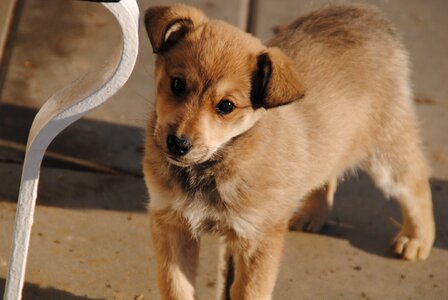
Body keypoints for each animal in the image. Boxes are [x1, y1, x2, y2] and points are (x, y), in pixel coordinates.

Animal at [143, 2, 434, 300]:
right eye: (177, 84)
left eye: (226, 106)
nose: (177, 144)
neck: (214, 166)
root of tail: (362, 12)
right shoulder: (172, 223)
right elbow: (175, 287)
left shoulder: (258, 238)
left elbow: (249, 292)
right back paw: (313, 213)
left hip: (386, 150)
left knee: (416, 181)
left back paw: (417, 239)